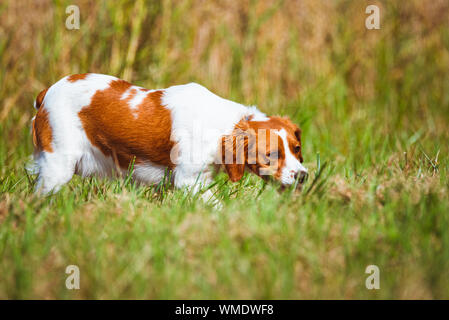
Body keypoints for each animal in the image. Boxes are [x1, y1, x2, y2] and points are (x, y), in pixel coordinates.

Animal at [29, 74, 306, 201]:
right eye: (271, 155)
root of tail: (48, 90)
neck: (221, 126)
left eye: (297, 148)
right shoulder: (189, 182)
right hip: (57, 168)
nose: (303, 176)